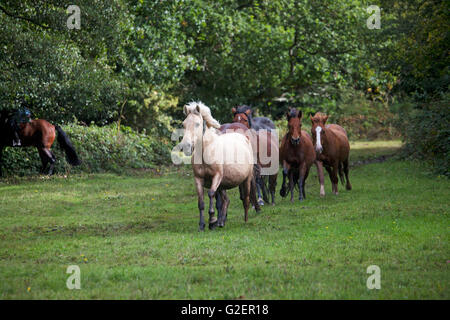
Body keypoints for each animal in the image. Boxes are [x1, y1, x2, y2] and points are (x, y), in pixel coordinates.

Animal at [179, 102, 256, 230]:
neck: (207, 152)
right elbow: (201, 202)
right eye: (183, 124)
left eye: (197, 124)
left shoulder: (216, 176)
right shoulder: (198, 179)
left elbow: (211, 194)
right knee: (225, 201)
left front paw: (211, 219)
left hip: (246, 179)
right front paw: (202, 225)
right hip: (223, 184)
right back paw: (221, 222)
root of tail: (244, 138)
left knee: (246, 199)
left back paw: (245, 220)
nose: (186, 146)